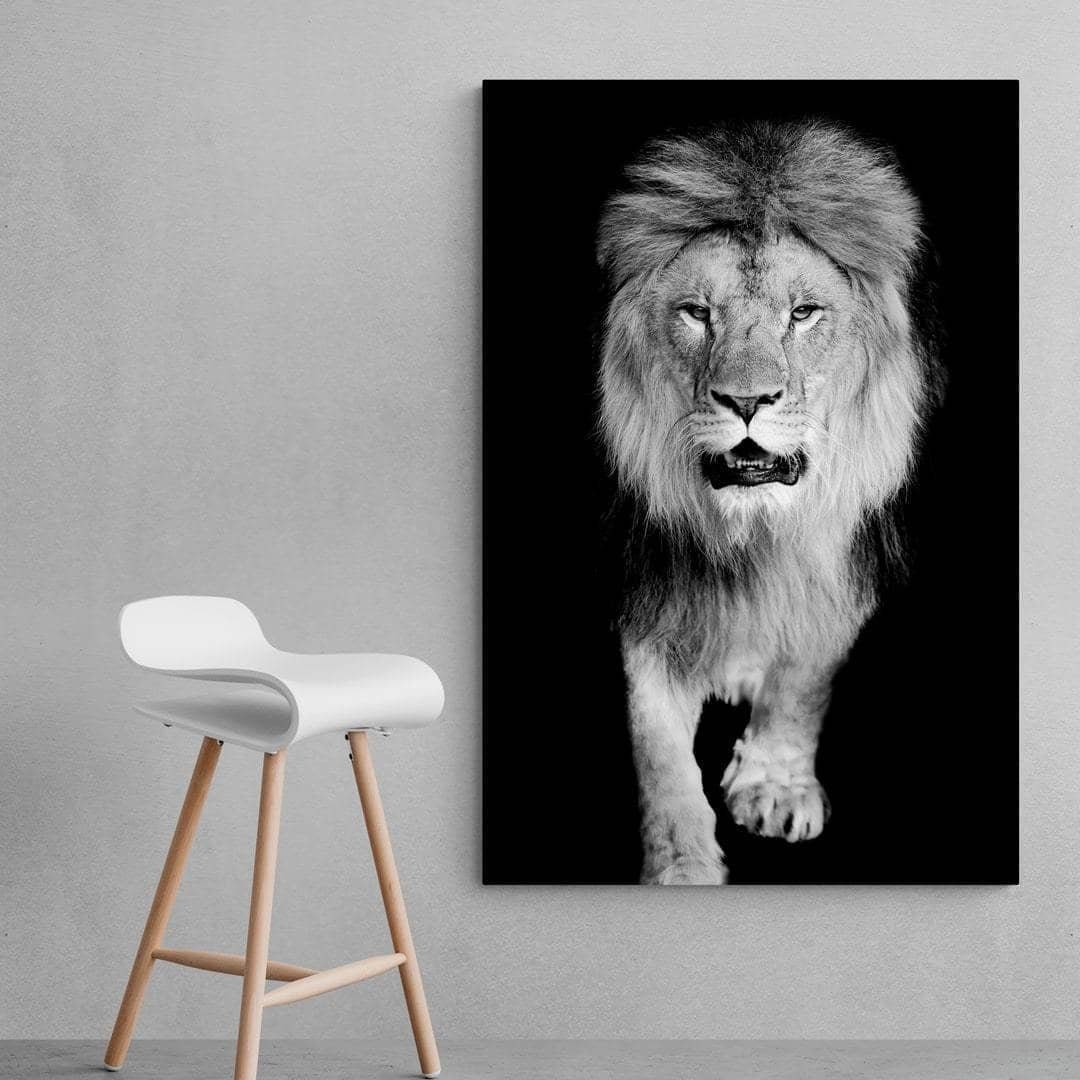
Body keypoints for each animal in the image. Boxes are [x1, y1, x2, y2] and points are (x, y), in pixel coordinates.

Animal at [596, 120, 943, 884]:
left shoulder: (842, 574)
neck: (756, 533)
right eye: (697, 313)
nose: (747, 401)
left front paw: (776, 787)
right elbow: (656, 746)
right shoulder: (647, 589)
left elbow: (804, 679)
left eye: (803, 314)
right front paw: (681, 865)